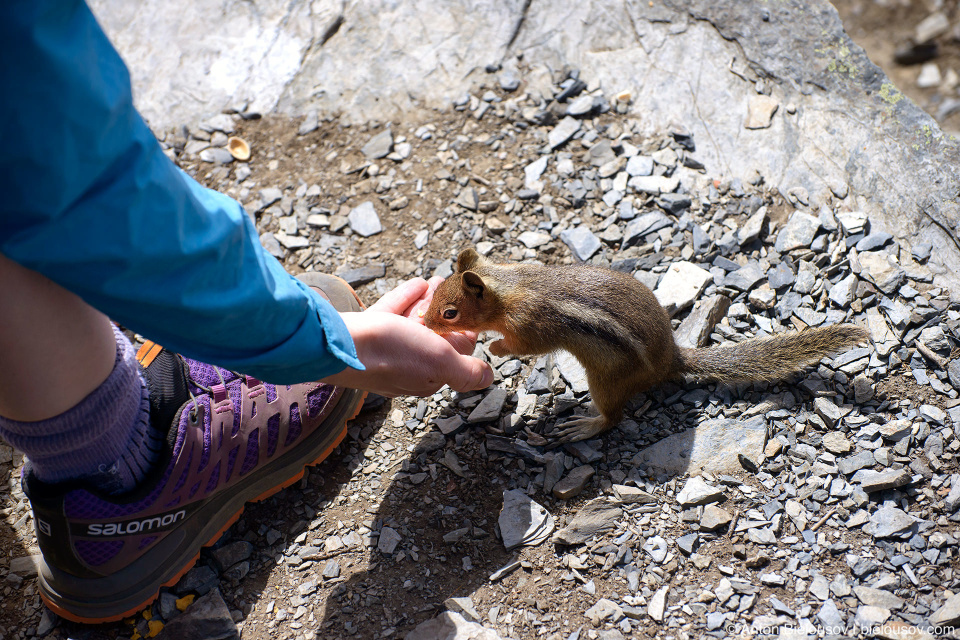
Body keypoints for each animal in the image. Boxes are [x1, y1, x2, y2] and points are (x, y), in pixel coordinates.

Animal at [424, 248, 868, 442]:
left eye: (449, 312)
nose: (424, 323)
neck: (510, 285)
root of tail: (671, 358)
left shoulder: (531, 322)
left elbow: (526, 346)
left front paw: (496, 350)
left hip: (606, 380)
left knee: (614, 417)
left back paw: (585, 426)